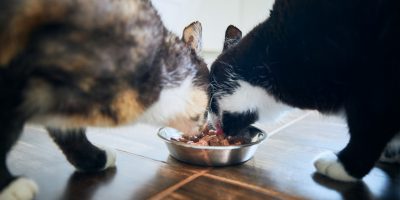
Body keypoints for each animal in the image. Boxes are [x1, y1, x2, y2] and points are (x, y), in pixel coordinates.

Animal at [0, 0, 209, 198]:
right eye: (209, 109)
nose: (206, 128)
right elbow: (8, 129)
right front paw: (9, 185)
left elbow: (71, 135)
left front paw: (96, 159)